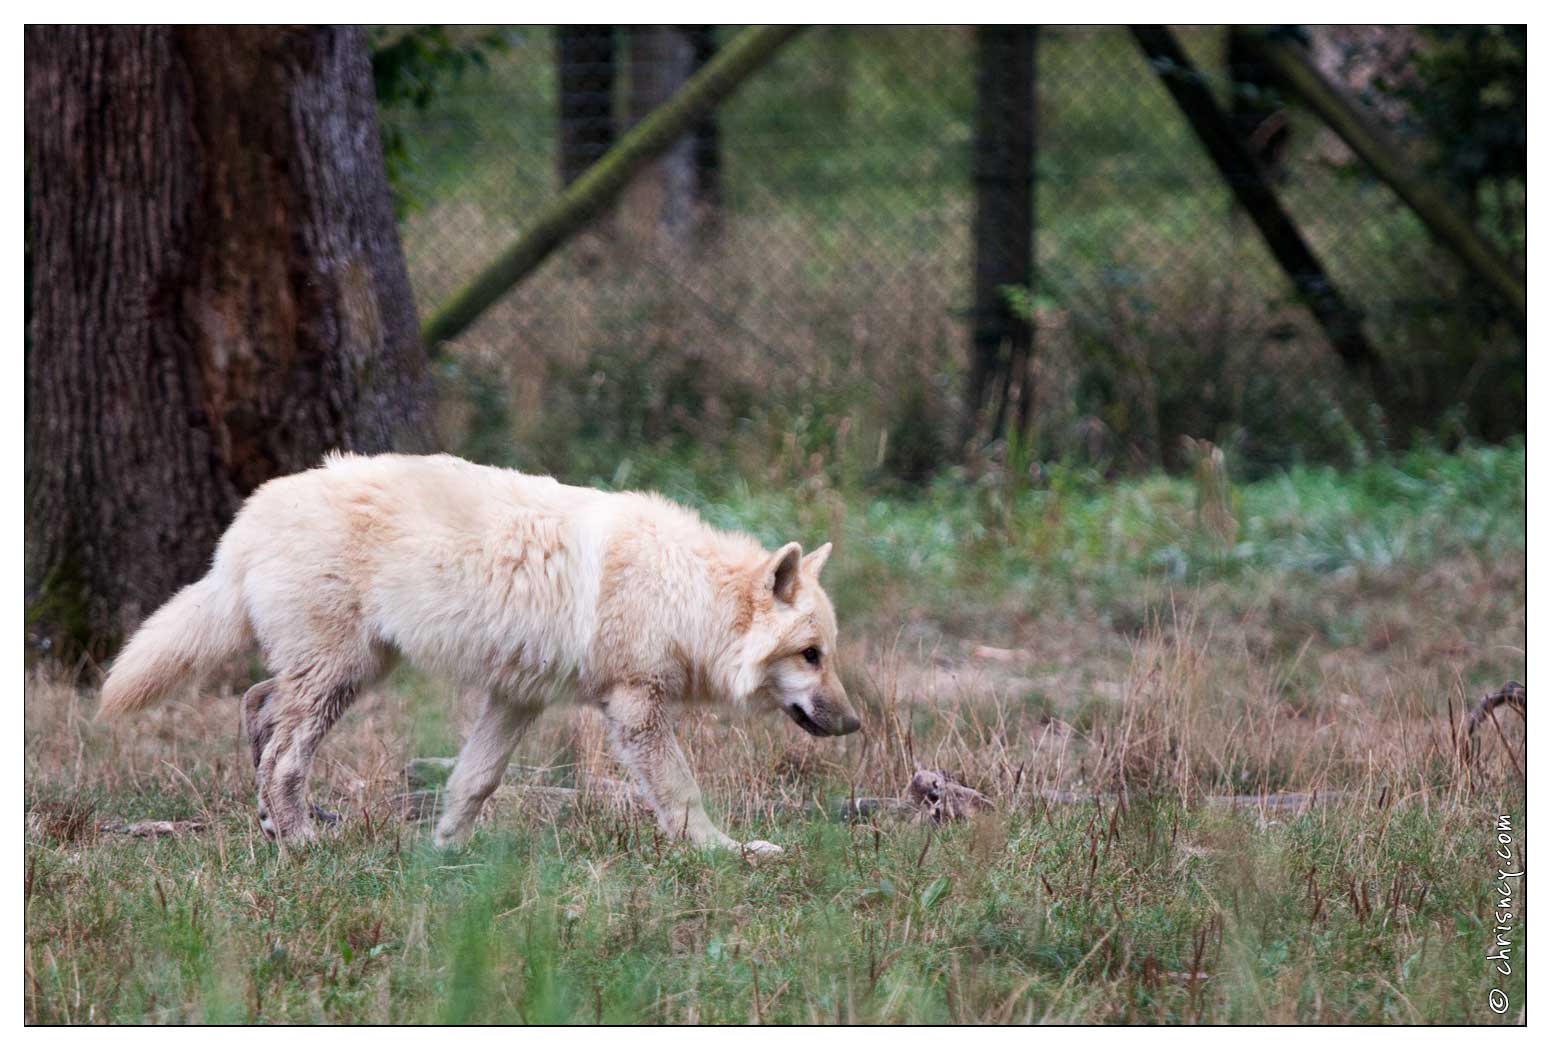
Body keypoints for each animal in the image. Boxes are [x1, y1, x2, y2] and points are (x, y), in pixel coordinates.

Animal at [100, 452, 862, 855]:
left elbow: (474, 780)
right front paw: (725, 853)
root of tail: (249, 516)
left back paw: (270, 824)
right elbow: (681, 793)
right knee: (283, 751)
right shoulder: (634, 706)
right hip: (341, 675)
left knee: (258, 707)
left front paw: (441, 851)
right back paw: (301, 842)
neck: (685, 593)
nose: (854, 724)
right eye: (810, 655)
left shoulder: (516, 698)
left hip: (347, 670)